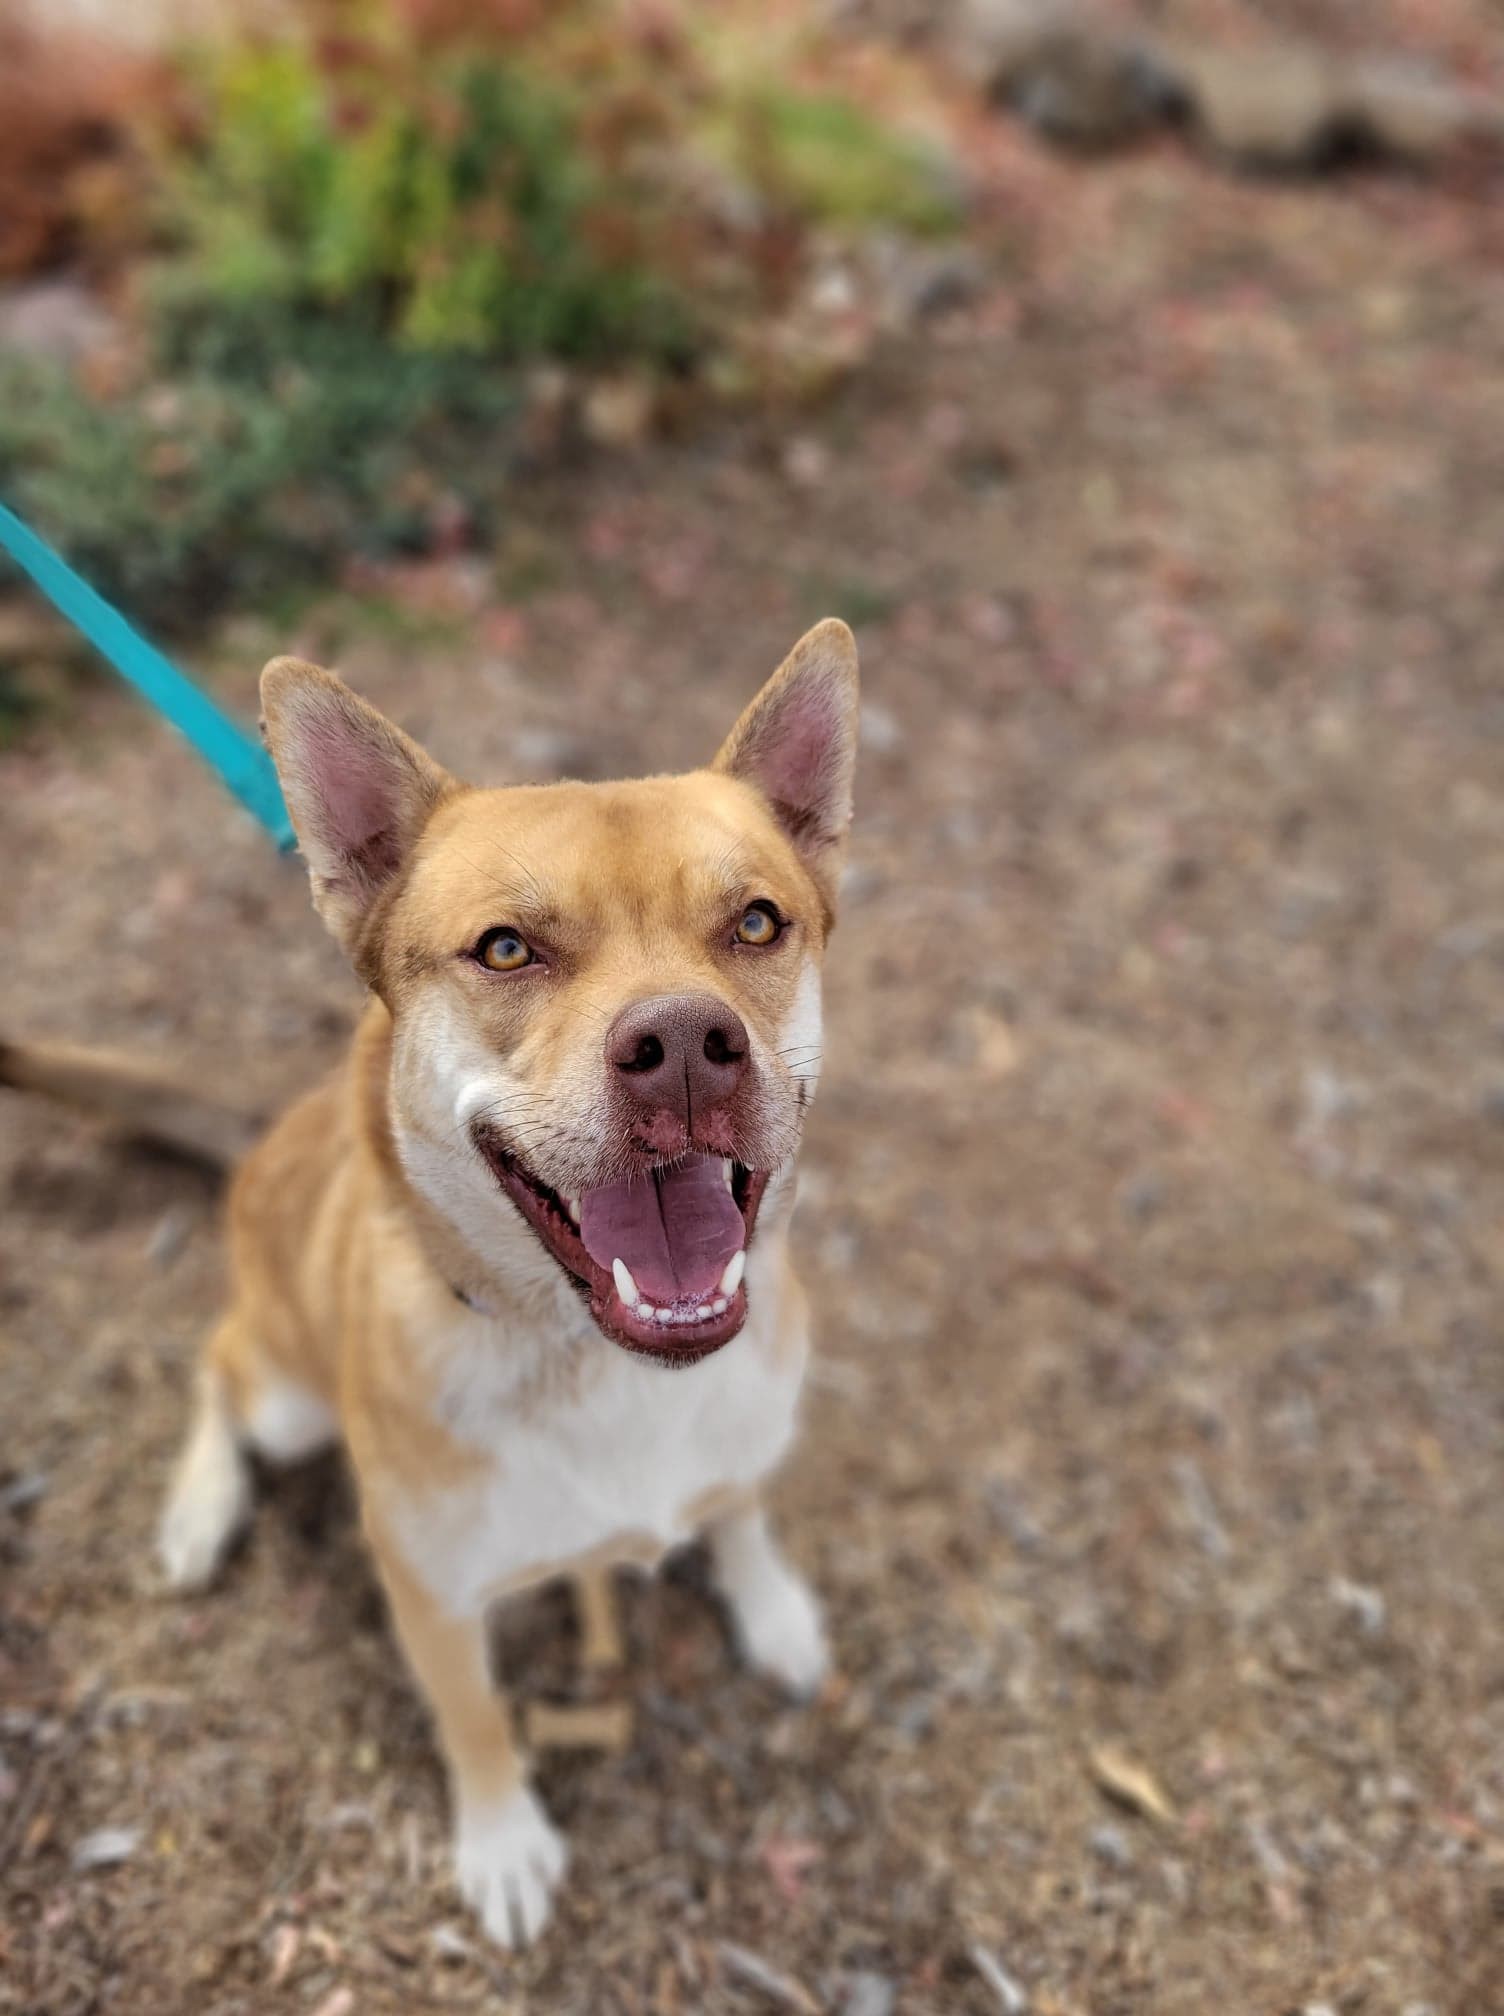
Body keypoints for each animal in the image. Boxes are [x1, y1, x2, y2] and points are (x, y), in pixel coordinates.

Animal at [142, 616, 862, 1951]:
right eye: (508, 948)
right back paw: (199, 1509)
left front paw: (775, 1607)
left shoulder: (746, 1431)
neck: (597, 1367)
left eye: (754, 923)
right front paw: (504, 1842)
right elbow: (473, 1716)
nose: (686, 1047)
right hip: (289, 1400)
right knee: (218, 1366)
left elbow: (740, 1508)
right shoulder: (427, 1590)